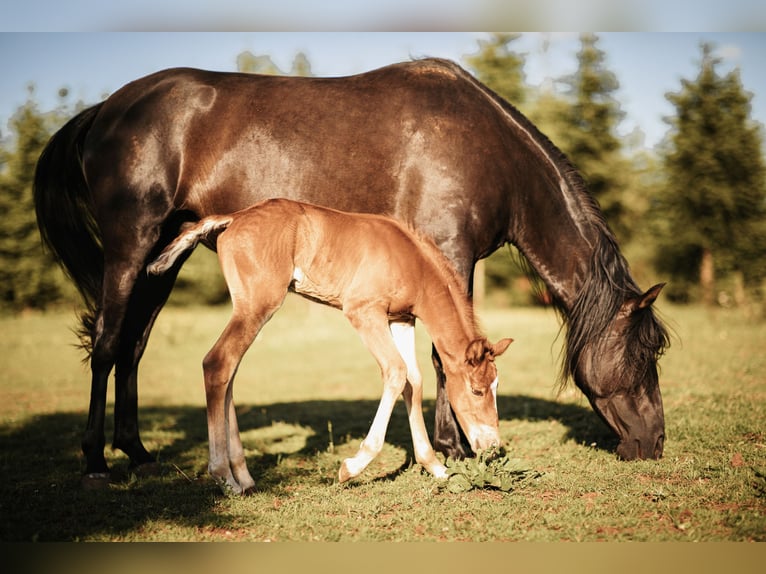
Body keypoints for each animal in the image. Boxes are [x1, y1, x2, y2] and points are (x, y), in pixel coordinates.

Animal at [146, 198, 513, 493]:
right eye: (478, 390)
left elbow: (414, 380)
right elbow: (395, 373)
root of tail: (234, 218)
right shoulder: (364, 312)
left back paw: (245, 478)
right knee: (218, 362)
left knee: (230, 372)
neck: (411, 260)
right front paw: (351, 467)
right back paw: (225, 477)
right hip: (258, 305)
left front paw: (435, 467)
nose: (493, 446)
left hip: (248, 307)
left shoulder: (402, 319)